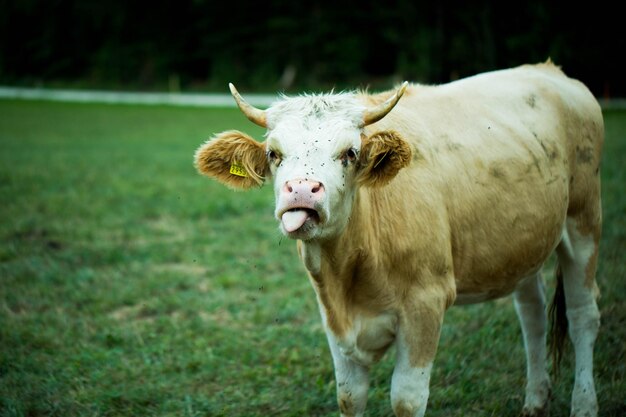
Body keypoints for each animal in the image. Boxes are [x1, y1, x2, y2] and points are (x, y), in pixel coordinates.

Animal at [194, 61, 600, 416]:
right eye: (273, 153)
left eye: (350, 153)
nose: (303, 190)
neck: (350, 272)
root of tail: (548, 70)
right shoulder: (334, 320)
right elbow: (349, 397)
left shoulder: (426, 303)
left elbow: (407, 399)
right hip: (523, 242)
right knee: (532, 313)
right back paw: (536, 400)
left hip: (584, 222)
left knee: (583, 315)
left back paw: (583, 405)